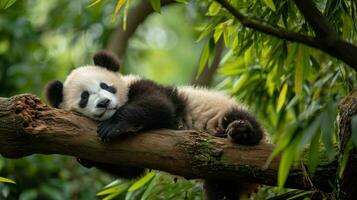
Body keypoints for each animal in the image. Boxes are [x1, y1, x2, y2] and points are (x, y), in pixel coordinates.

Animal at [44, 51, 262, 200]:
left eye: (105, 86)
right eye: (84, 97)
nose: (104, 103)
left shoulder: (146, 87)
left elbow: (158, 106)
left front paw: (112, 126)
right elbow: (131, 169)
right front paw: (85, 158)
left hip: (225, 113)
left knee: (246, 124)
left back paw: (241, 131)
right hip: (220, 175)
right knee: (220, 190)